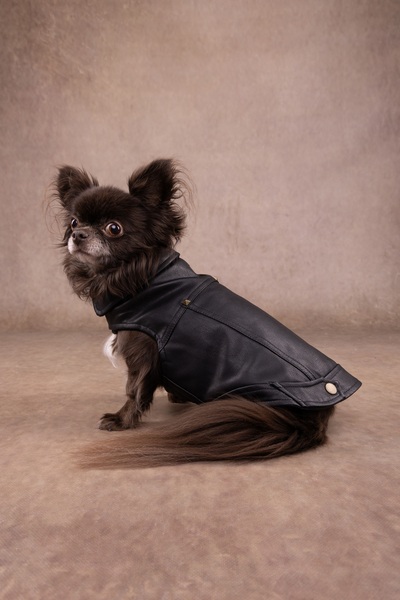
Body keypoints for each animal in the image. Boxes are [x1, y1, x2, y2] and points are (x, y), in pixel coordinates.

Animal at [54, 158, 361, 468]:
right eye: (74, 222)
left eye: (113, 228)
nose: (78, 235)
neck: (140, 278)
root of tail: (316, 417)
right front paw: (176, 396)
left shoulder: (141, 350)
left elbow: (135, 389)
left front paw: (121, 420)